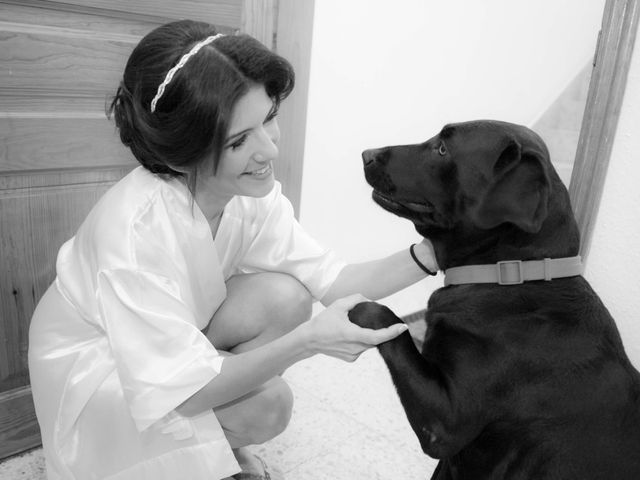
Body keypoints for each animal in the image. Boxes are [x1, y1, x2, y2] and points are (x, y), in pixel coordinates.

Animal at [350, 121, 640, 480]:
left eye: (442, 149)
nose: (367, 154)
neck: (509, 274)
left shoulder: (443, 424)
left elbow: (384, 316)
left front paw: (355, 309)